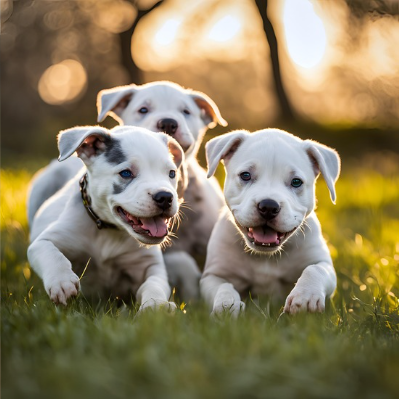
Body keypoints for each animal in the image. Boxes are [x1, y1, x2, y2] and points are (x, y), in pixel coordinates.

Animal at [27, 126, 184, 310]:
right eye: (126, 173)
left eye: (172, 173)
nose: (165, 197)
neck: (109, 231)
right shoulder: (45, 241)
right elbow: (50, 252)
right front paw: (62, 282)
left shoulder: (149, 265)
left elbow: (154, 283)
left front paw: (156, 305)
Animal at [202, 128, 342, 318]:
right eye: (245, 175)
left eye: (296, 181)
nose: (268, 206)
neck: (265, 255)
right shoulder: (212, 275)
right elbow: (223, 286)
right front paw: (227, 306)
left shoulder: (323, 263)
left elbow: (315, 269)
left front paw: (305, 296)